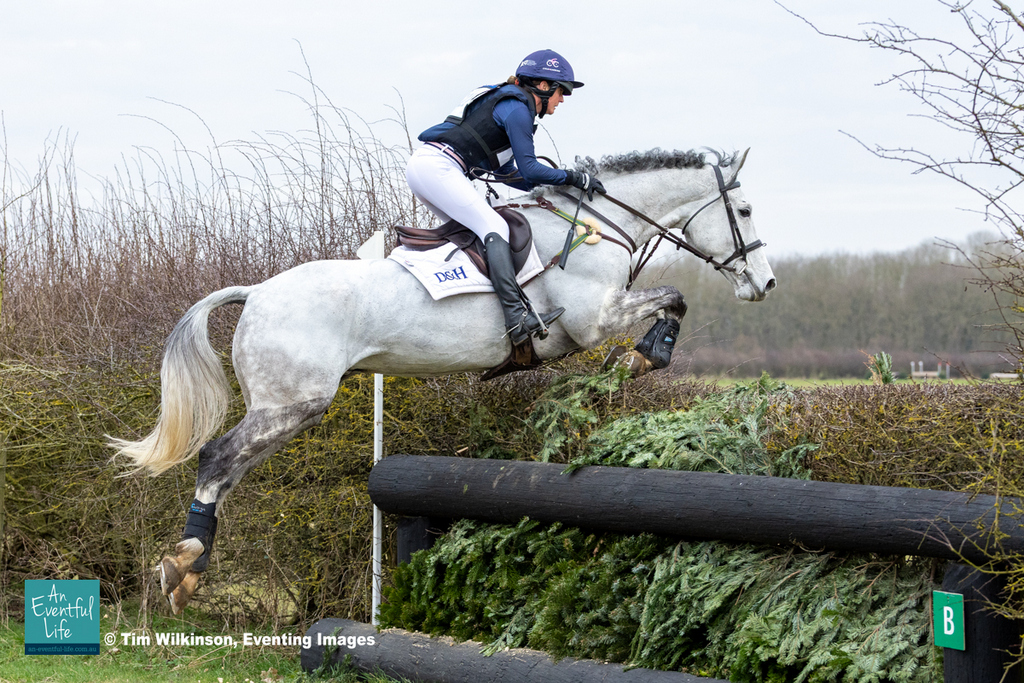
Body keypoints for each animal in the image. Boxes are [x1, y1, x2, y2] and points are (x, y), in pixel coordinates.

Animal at [110, 147, 776, 614]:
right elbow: (674, 297)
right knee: (218, 458)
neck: (595, 224)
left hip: (287, 407)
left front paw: (642, 356)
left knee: (230, 469)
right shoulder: (593, 320)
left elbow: (672, 300)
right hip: (294, 403)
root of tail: (256, 291)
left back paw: (189, 571)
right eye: (744, 212)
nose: (764, 284)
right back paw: (184, 564)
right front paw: (640, 358)